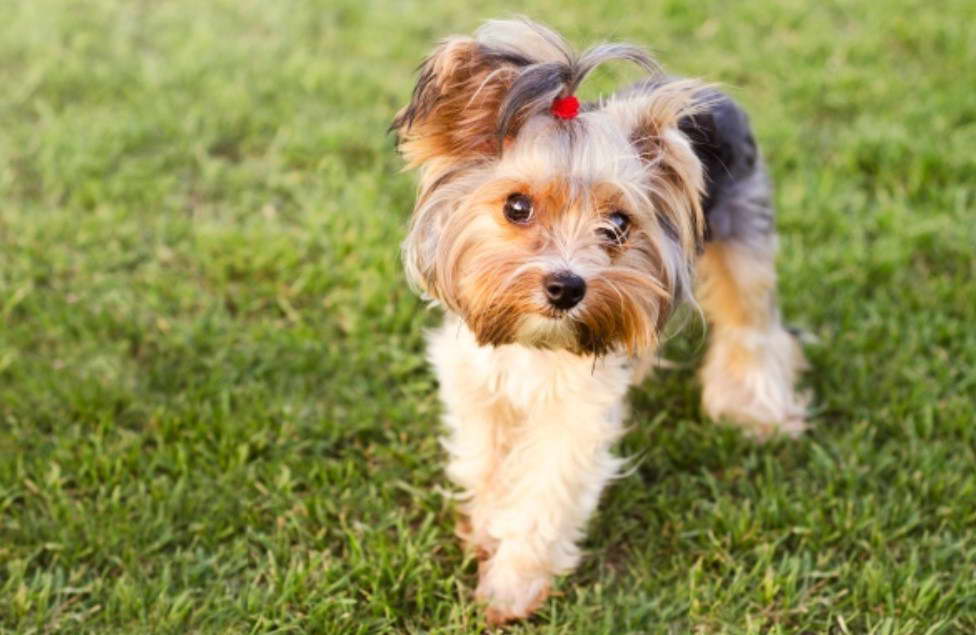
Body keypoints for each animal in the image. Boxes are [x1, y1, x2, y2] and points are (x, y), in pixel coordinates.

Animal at [388, 18, 808, 628]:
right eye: (517, 207)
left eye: (618, 224)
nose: (567, 287)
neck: (534, 341)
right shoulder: (476, 378)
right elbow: (485, 460)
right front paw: (487, 530)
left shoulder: (578, 410)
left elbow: (547, 491)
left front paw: (511, 587)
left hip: (744, 231)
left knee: (751, 323)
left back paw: (756, 411)